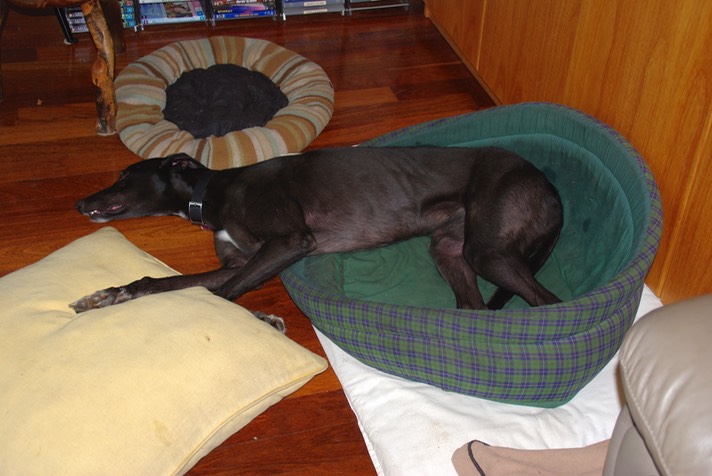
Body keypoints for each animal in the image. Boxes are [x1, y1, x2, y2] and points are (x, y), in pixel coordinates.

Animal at [69, 147, 564, 314]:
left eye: (124, 177)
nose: (79, 203)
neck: (215, 191)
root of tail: (551, 188)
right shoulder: (238, 261)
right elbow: (168, 281)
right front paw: (111, 293)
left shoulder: (289, 241)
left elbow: (222, 295)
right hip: (449, 247)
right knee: (474, 306)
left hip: (487, 249)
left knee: (548, 302)